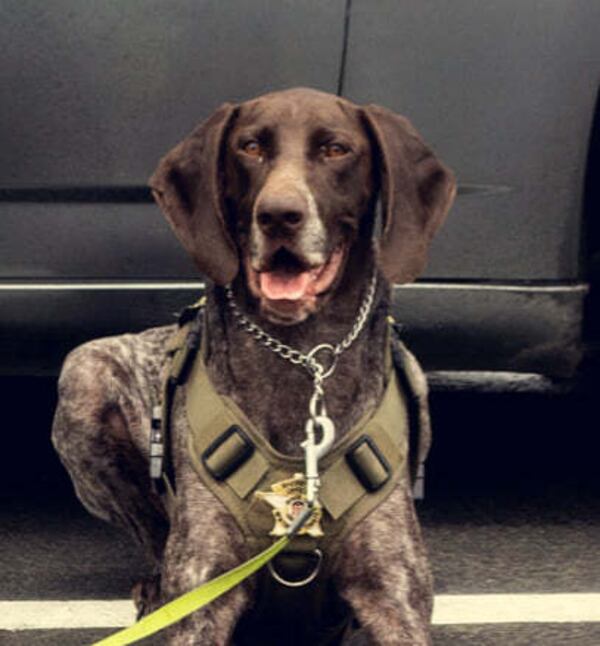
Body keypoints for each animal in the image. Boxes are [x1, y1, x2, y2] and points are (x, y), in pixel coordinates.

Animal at [52, 87, 454, 646]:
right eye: (250, 147)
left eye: (336, 149)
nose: (280, 214)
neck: (303, 358)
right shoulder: (204, 598)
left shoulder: (393, 599)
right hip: (83, 374)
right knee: (153, 535)